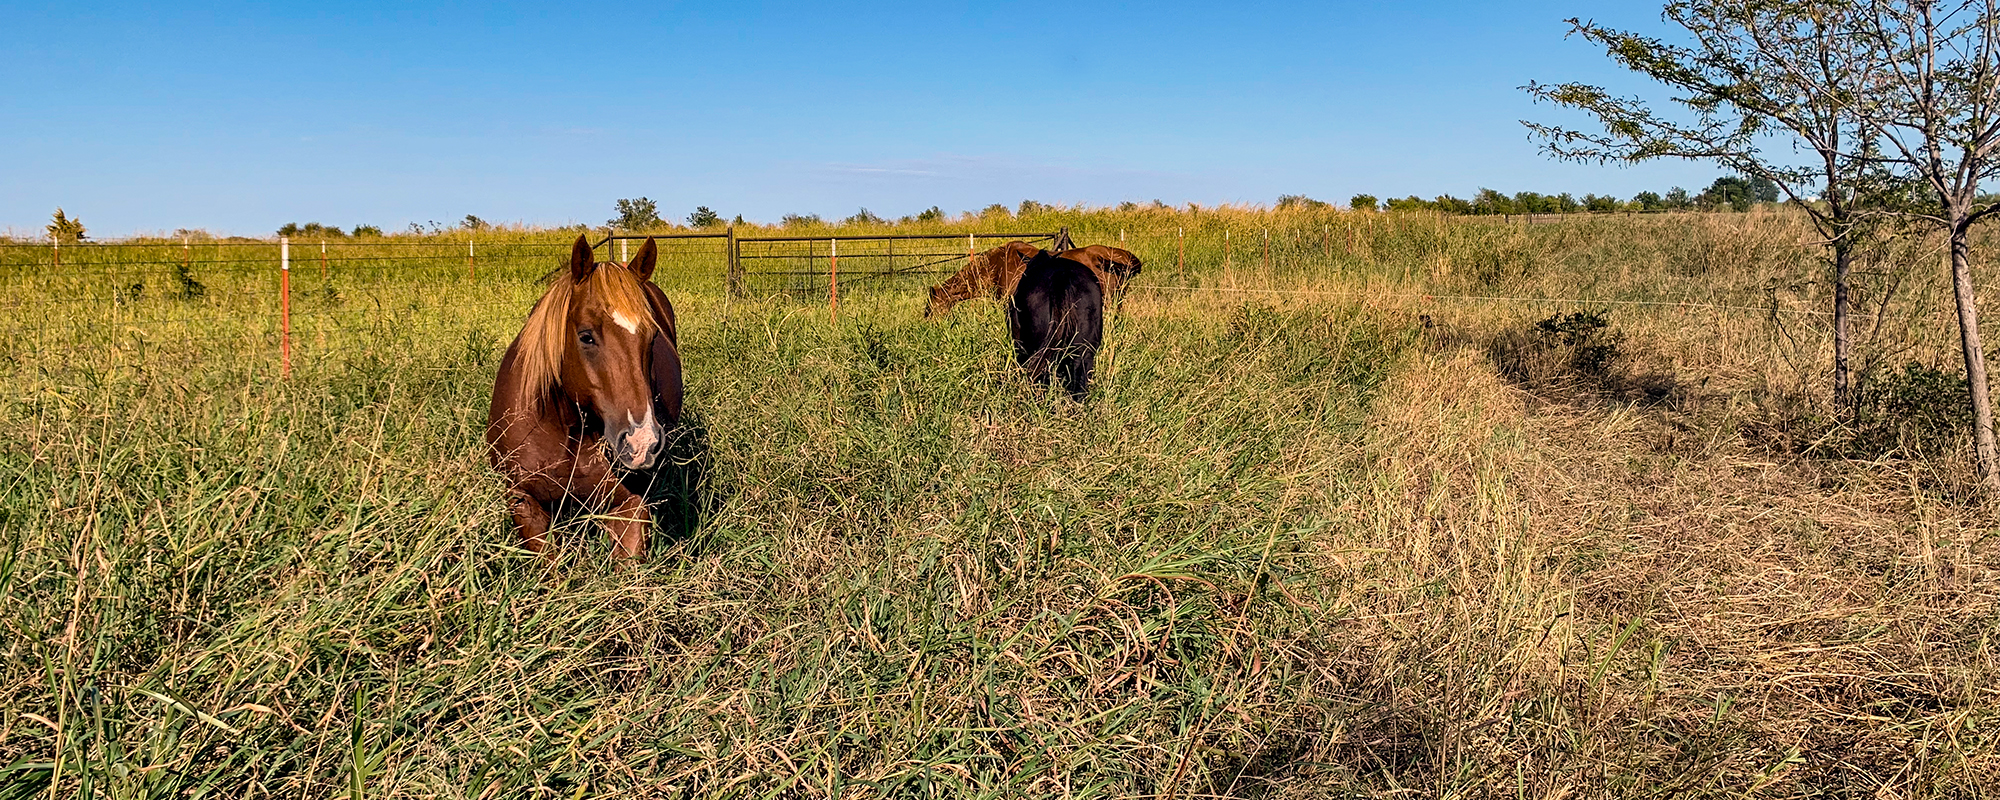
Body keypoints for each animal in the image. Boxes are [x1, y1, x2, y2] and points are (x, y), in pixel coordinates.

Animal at [488, 234, 684, 560]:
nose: (641, 443)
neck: (564, 426)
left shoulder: (629, 506)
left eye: (653, 338)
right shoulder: (525, 504)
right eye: (585, 336)